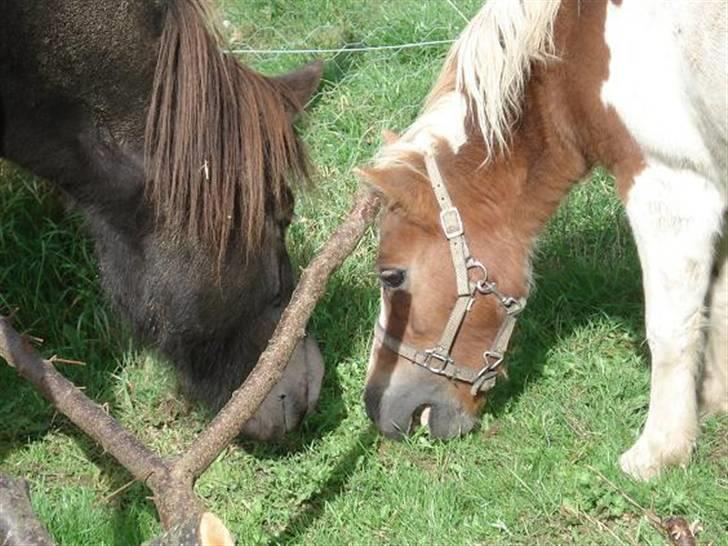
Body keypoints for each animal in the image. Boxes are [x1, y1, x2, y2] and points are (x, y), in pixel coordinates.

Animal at [360, 0, 728, 476]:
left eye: (391, 277)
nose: (375, 406)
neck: (573, 48)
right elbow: (721, 305)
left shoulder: (669, 187)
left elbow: (670, 329)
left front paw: (659, 451)